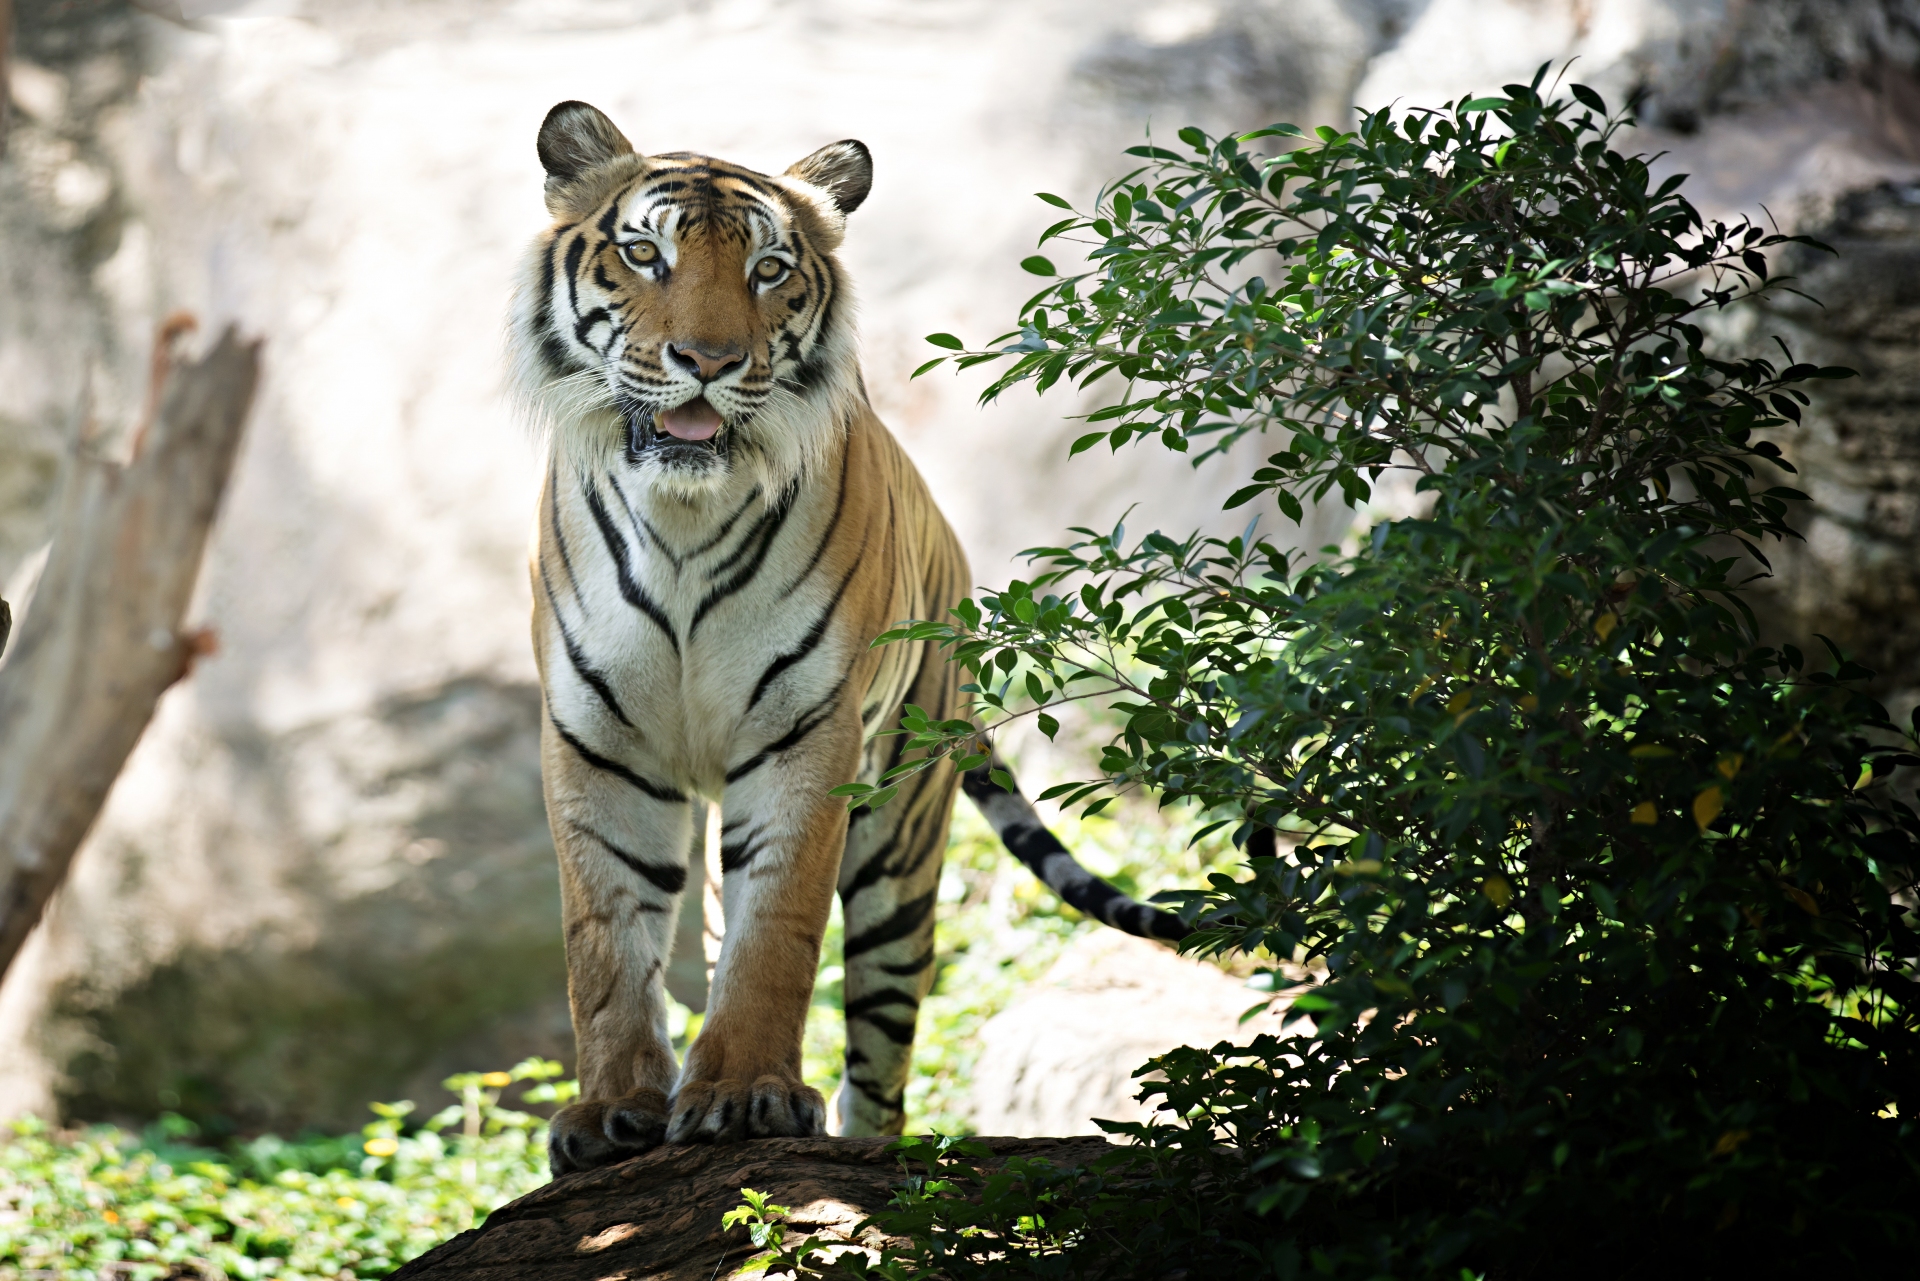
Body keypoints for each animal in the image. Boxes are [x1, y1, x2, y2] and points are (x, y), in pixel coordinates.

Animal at [511, 100, 1186, 1176]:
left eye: (767, 269)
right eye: (644, 254)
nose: (708, 361)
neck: (682, 521)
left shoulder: (804, 730)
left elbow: (778, 931)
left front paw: (745, 1095)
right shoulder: (595, 738)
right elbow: (604, 939)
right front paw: (613, 1110)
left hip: (900, 850)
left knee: (884, 1054)